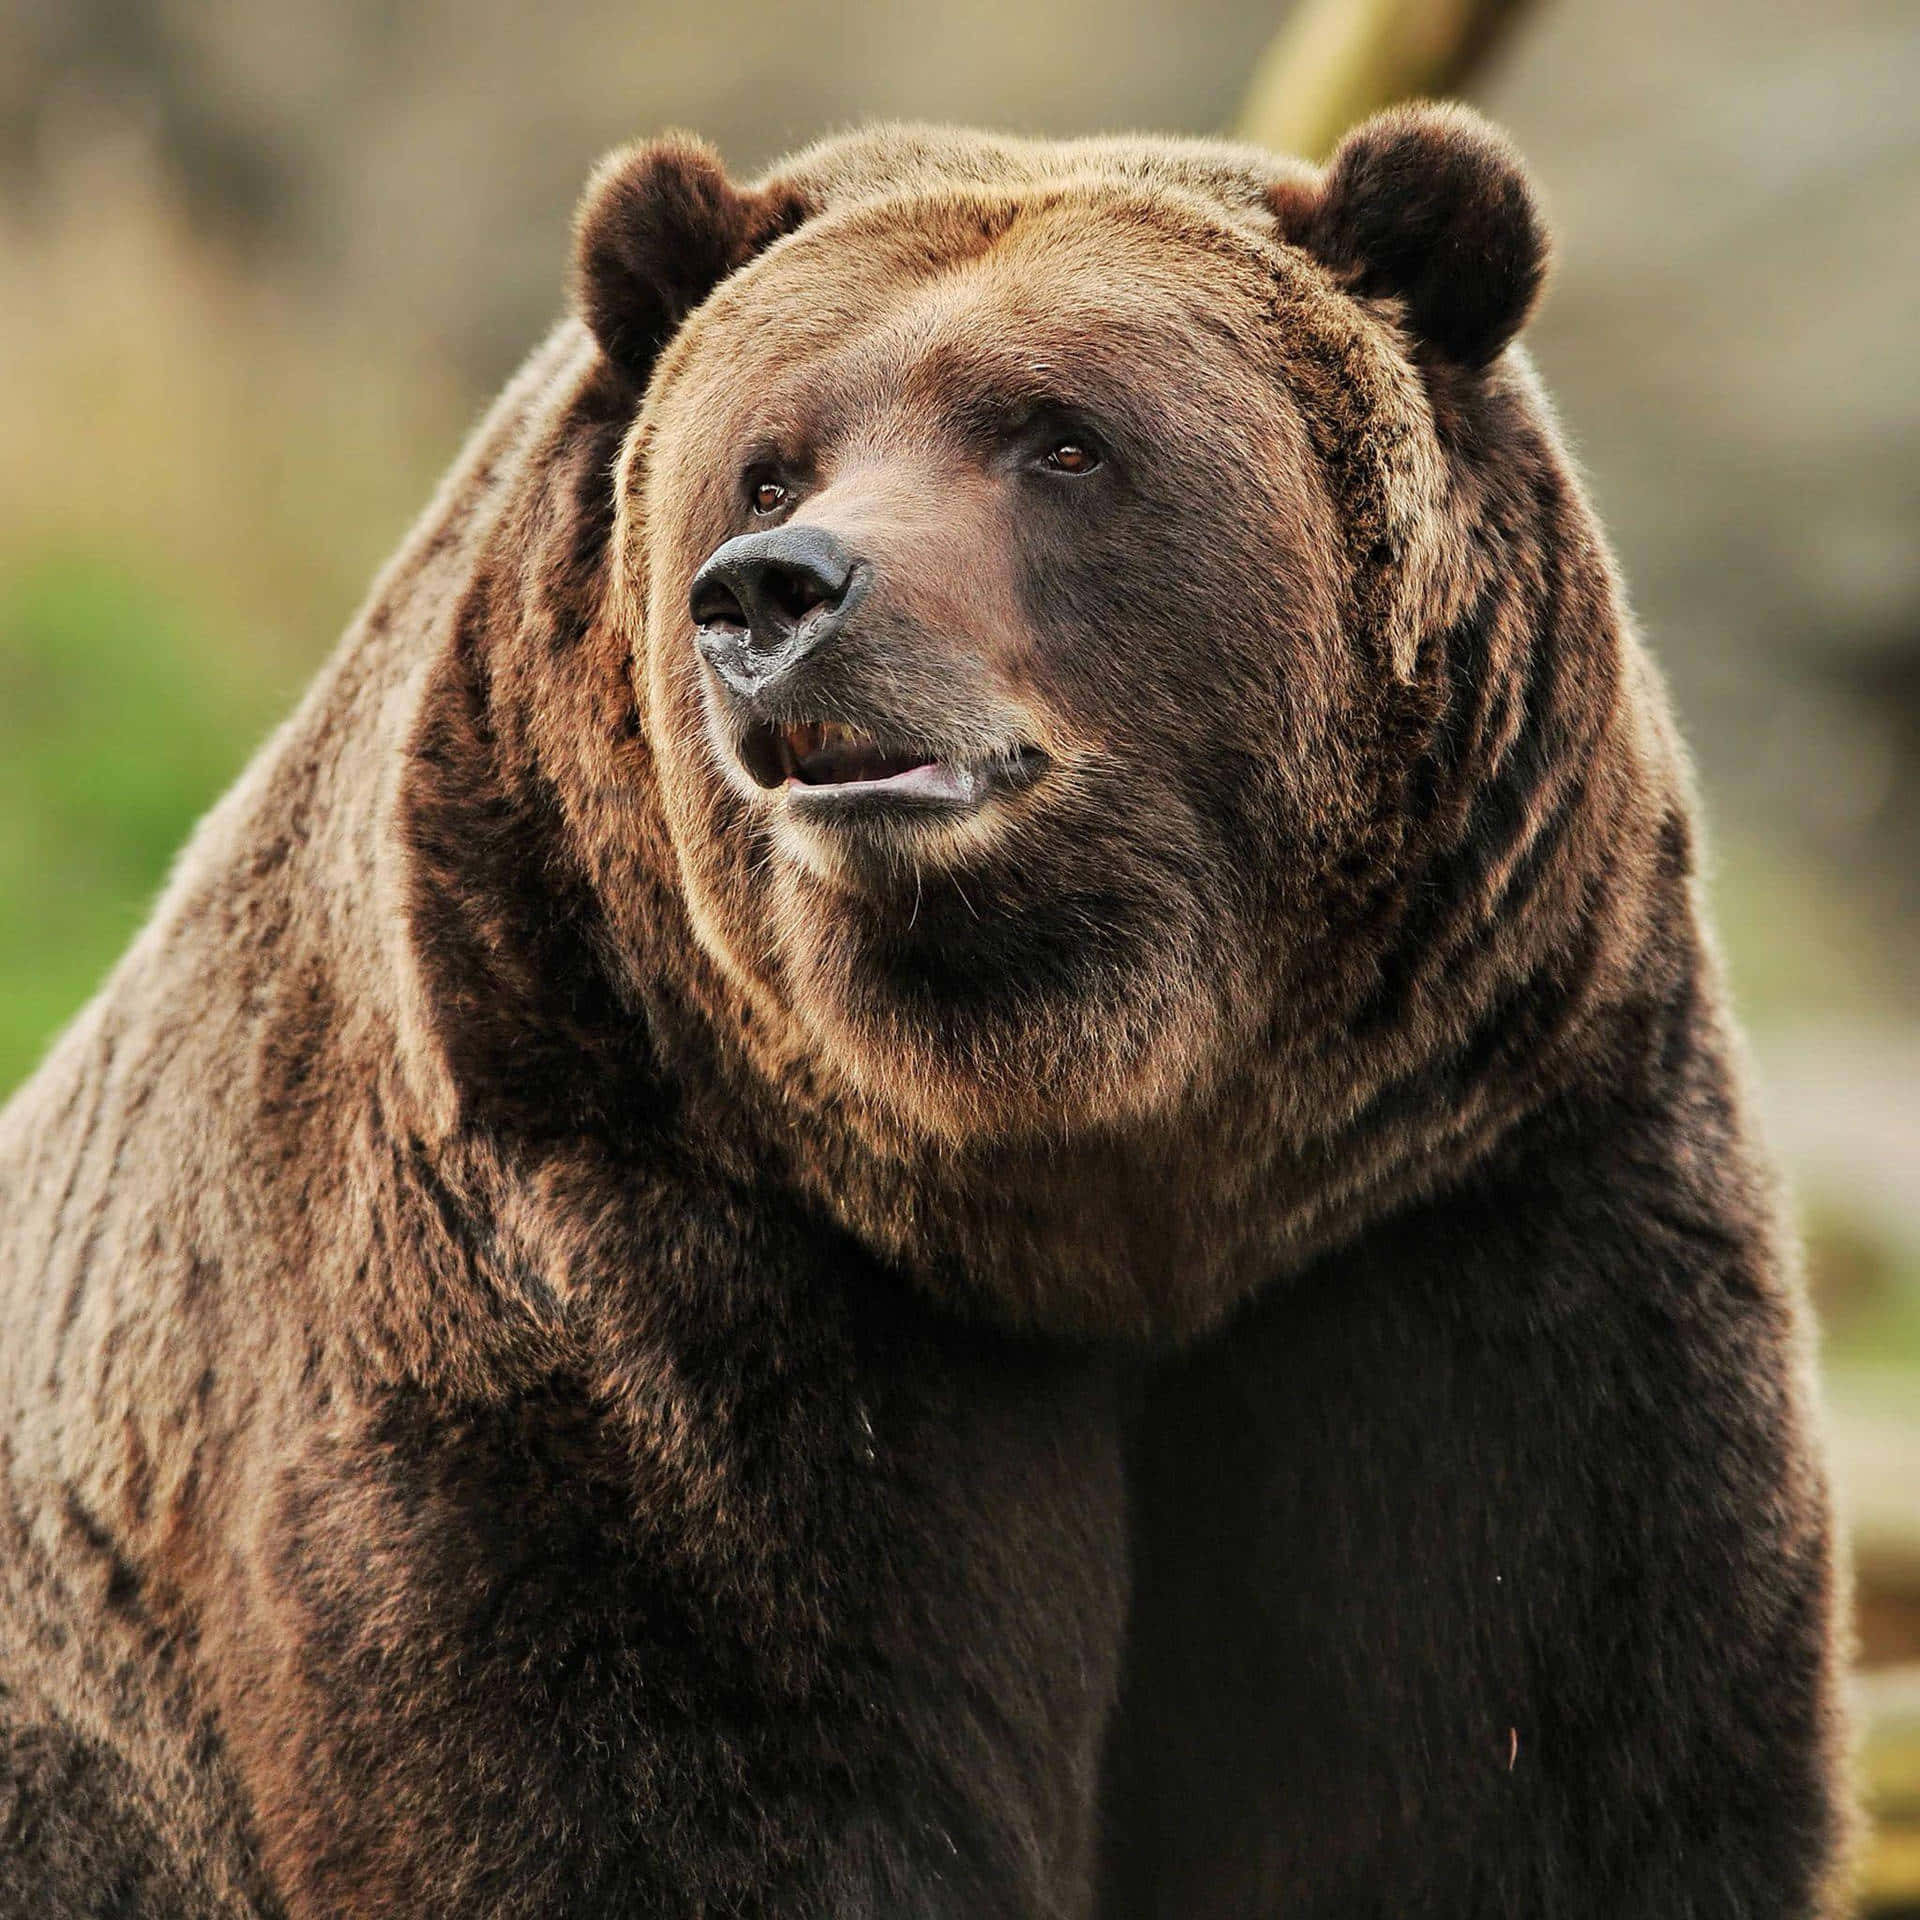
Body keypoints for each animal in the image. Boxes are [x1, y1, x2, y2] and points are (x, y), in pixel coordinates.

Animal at [0, 105, 1847, 1917]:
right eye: (770, 460)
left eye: (1063, 441)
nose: (772, 591)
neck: (1083, 1161)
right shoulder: (613, 1245)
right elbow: (668, 1770)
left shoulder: (1460, 1232)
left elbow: (1530, 1768)